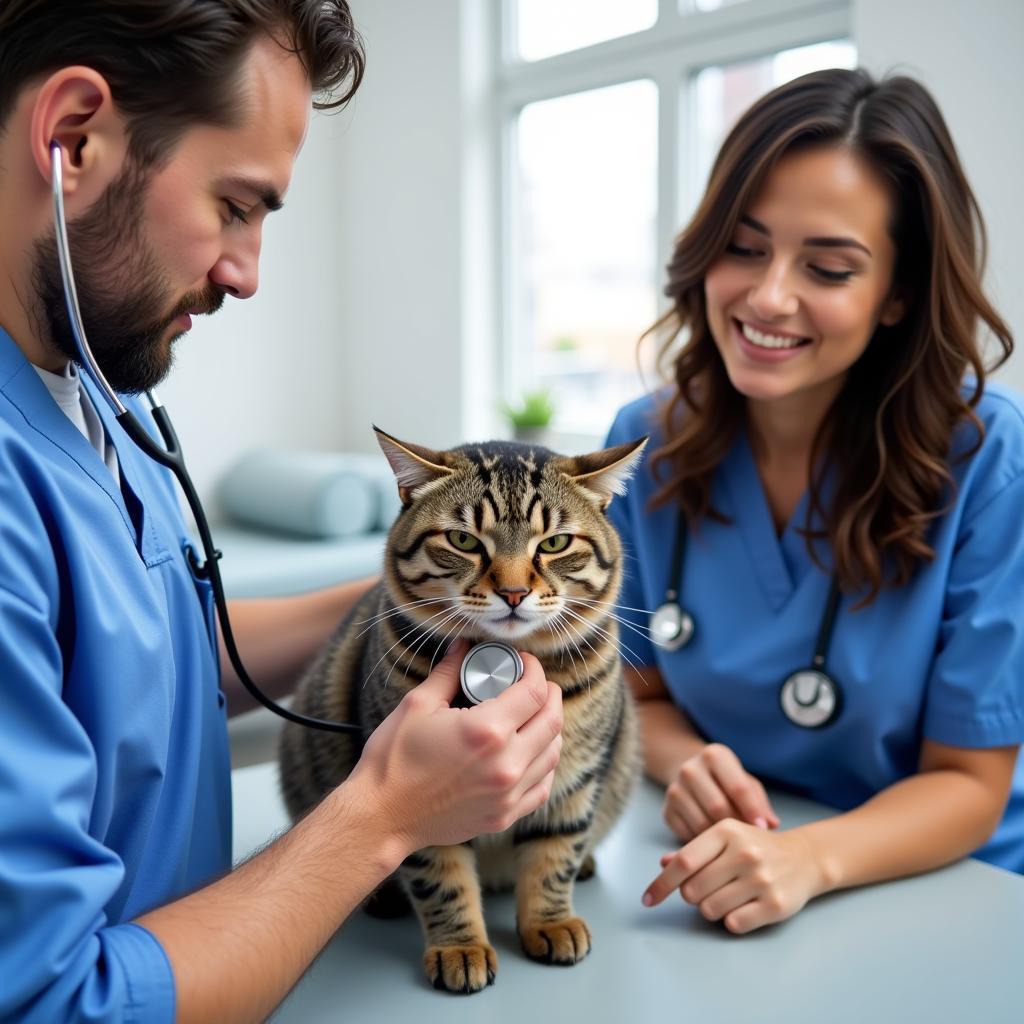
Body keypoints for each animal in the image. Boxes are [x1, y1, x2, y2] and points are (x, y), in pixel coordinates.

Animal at [280, 428, 647, 995]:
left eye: (554, 544)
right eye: (465, 541)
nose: (514, 592)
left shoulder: (576, 779)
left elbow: (555, 854)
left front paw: (551, 921)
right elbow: (441, 877)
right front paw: (461, 947)